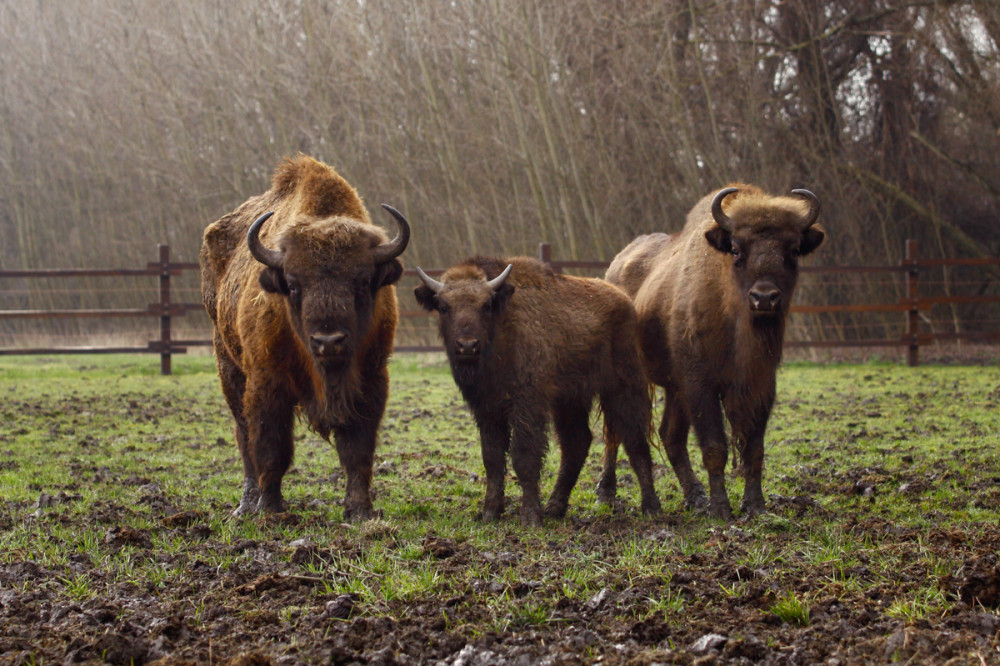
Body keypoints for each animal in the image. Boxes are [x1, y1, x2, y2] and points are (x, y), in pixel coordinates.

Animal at [200, 156, 410, 520]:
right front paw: (271, 509)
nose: (329, 341)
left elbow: (357, 450)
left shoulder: (371, 380)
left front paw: (360, 510)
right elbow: (271, 447)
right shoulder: (267, 383)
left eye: (362, 280)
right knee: (243, 437)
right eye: (294, 284)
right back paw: (246, 505)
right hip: (229, 368)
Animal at [414, 256, 664, 528]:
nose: (467, 346)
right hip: (571, 400)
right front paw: (490, 512)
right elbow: (492, 458)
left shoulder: (527, 405)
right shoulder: (487, 410)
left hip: (624, 387)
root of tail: (625, 301)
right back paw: (555, 506)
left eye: (486, 305)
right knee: (577, 443)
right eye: (443, 306)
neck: (501, 332)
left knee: (635, 440)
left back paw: (651, 508)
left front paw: (531, 517)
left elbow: (524, 457)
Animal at [604, 183, 824, 520]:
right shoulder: (700, 386)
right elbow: (714, 446)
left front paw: (755, 506)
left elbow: (754, 448)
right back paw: (606, 492)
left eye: (793, 250)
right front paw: (721, 509)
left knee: (671, 436)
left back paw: (694, 497)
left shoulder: (759, 386)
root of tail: (615, 265)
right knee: (613, 432)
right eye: (736, 249)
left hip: (674, 389)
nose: (764, 298)